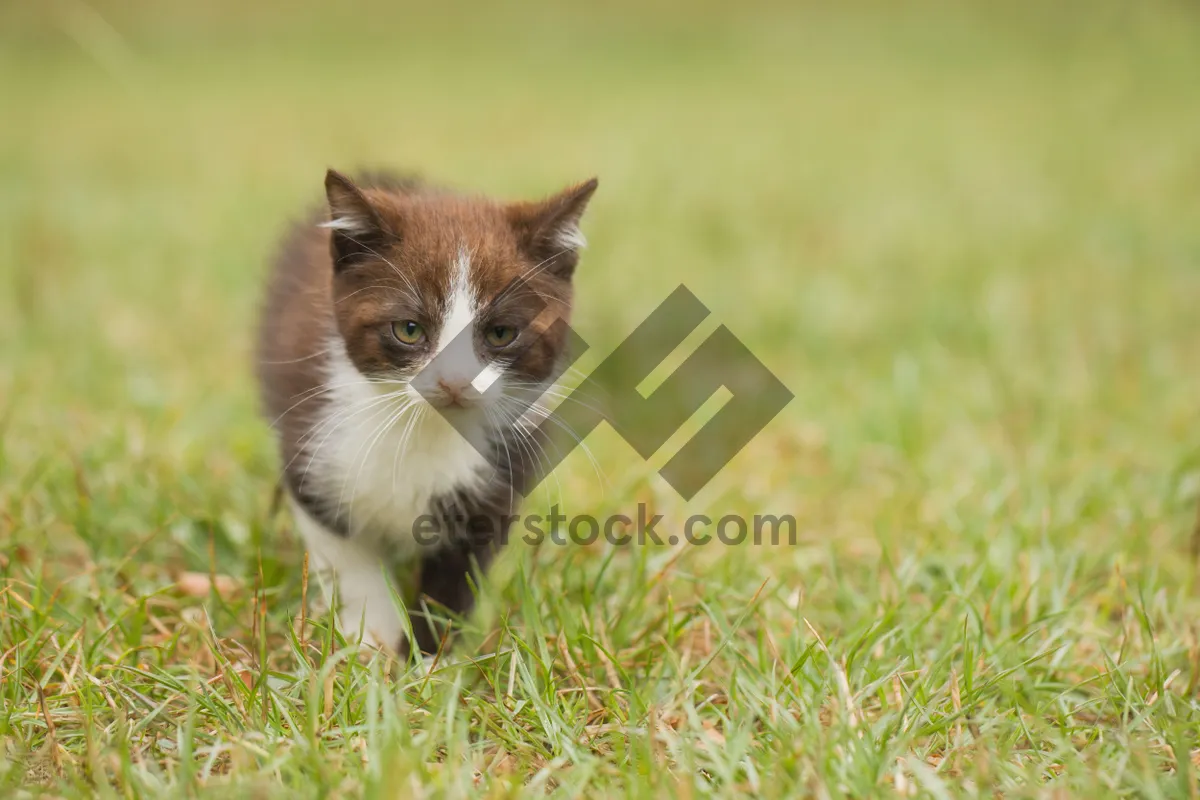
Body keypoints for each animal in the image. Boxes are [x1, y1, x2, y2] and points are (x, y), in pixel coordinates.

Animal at [262, 170, 600, 657]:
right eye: (409, 329)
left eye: (501, 333)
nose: (454, 381)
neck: (425, 429)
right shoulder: (312, 449)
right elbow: (349, 559)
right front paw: (373, 643)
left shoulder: (499, 480)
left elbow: (453, 584)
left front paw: (429, 660)